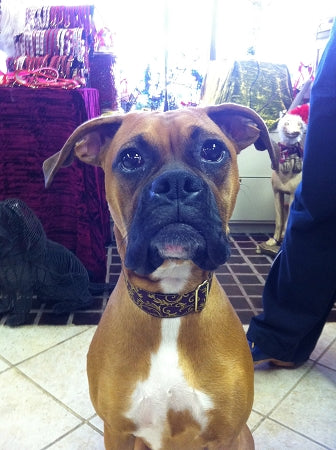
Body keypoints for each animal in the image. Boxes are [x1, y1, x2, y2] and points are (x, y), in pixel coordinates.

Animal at [43, 103, 276, 450]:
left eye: (213, 150)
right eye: (131, 158)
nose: (176, 182)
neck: (170, 305)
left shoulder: (225, 435)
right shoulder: (118, 432)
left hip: (242, 436)